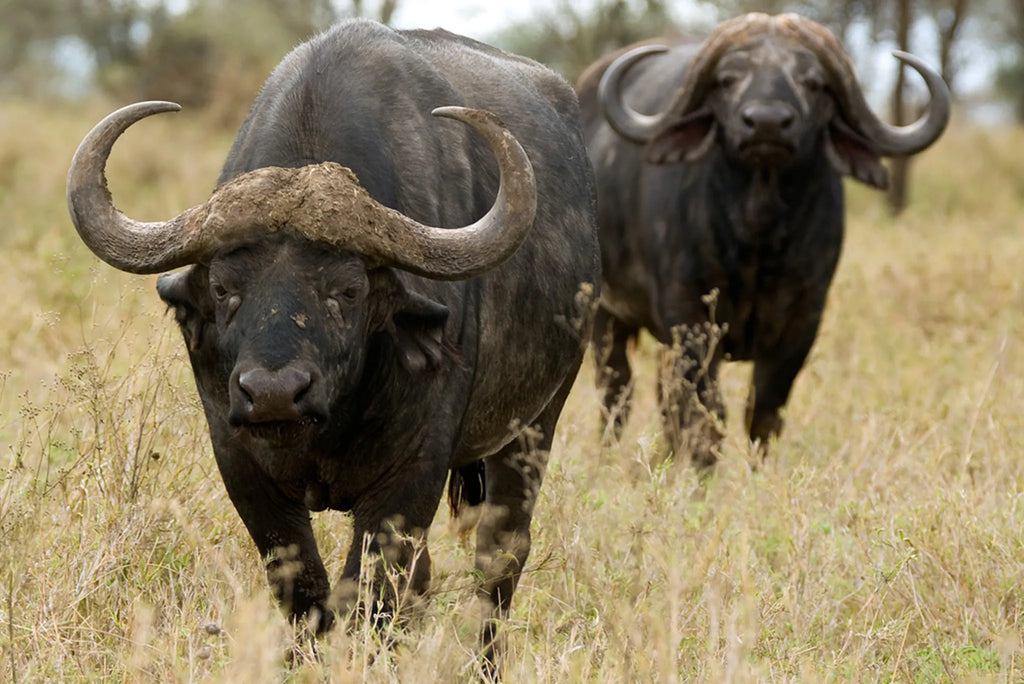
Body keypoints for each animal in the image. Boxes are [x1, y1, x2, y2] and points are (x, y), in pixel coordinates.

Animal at [67, 19, 598, 662]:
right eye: (223, 287)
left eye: (347, 290)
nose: (273, 393)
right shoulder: (241, 463)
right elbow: (304, 588)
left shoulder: (411, 475)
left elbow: (372, 593)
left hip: (535, 424)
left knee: (500, 557)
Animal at [576, 13, 949, 466]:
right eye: (728, 79)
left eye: (813, 82)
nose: (767, 123)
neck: (758, 237)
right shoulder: (689, 316)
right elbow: (707, 410)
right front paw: (701, 471)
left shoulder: (804, 320)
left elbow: (765, 410)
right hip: (603, 315)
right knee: (617, 389)